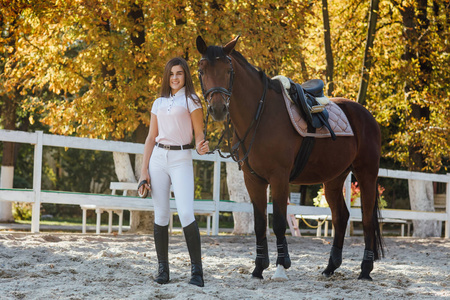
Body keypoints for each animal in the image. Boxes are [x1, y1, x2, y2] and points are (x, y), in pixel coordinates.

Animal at [197, 35, 384, 282]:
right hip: (334, 179)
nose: (218, 109)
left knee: (367, 219)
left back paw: (365, 269)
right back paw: (330, 267)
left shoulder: (279, 178)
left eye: (228, 70)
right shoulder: (253, 179)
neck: (261, 115)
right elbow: (260, 224)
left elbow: (277, 222)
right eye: (201, 70)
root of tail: (366, 115)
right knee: (341, 217)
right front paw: (258, 269)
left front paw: (281, 266)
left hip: (366, 173)